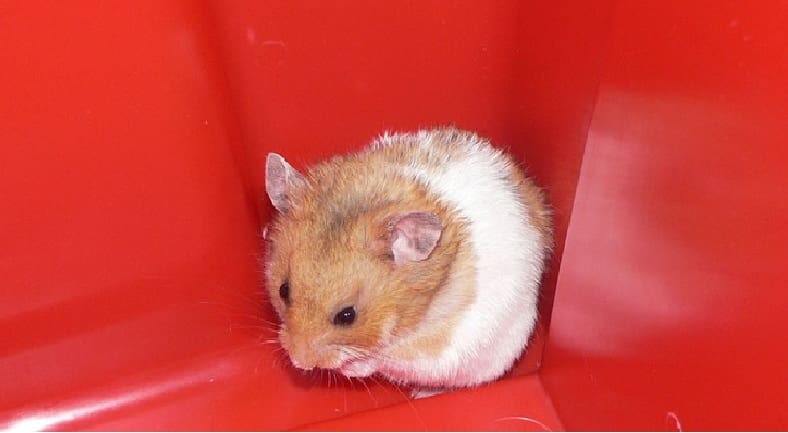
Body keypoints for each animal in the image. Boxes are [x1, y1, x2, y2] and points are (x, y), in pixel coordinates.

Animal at [263, 127, 552, 391]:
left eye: (347, 316)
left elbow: (386, 359)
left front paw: (351, 368)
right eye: (283, 290)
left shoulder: (434, 348)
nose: (299, 362)